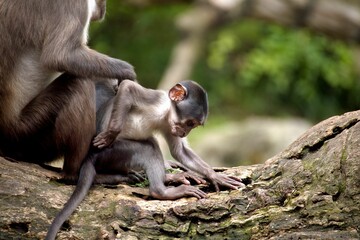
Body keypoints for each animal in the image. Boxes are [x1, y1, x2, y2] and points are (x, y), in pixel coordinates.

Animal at [0, 0, 136, 181]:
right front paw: (127, 73)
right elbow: (60, 56)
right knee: (80, 83)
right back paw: (76, 174)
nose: (104, 6)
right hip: (24, 133)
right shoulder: (73, 4)